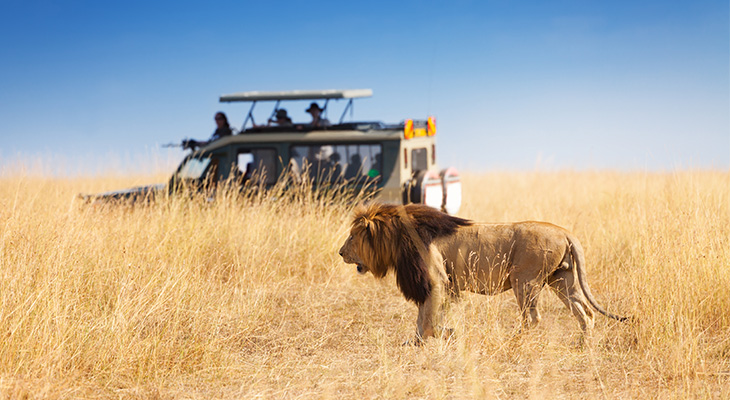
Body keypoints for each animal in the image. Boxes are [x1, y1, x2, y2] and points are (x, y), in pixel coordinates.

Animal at [336, 205, 624, 342]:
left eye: (351, 236)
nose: (340, 252)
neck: (397, 238)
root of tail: (565, 232)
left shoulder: (436, 281)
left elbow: (428, 319)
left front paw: (444, 335)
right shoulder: (439, 285)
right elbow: (423, 318)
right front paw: (418, 342)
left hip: (524, 280)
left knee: (533, 318)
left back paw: (514, 341)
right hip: (562, 280)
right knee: (585, 313)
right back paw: (583, 345)